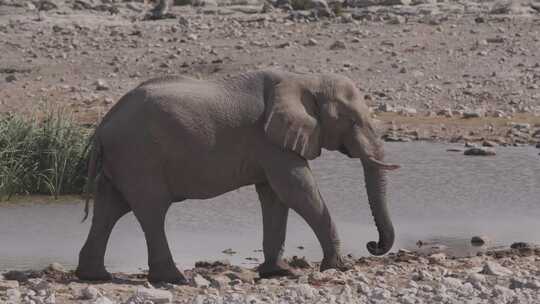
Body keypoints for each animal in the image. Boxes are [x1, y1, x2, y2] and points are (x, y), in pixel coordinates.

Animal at [76, 70, 398, 284]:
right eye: (352, 121)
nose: (373, 245)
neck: (306, 80)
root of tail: (103, 124)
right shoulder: (271, 140)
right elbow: (297, 189)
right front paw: (337, 268)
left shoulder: (272, 143)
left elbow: (275, 196)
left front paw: (278, 272)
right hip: (139, 157)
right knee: (151, 210)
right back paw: (174, 279)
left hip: (124, 160)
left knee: (110, 208)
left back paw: (95, 276)